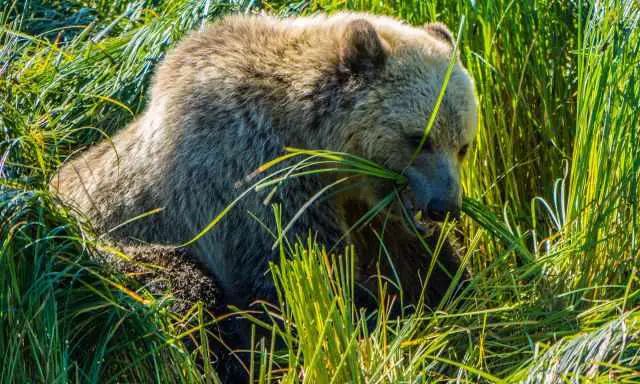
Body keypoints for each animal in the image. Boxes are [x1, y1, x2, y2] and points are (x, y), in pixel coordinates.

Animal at [52, 11, 478, 332]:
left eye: (463, 145)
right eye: (418, 138)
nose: (445, 206)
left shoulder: (358, 202)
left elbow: (411, 257)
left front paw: (452, 293)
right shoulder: (250, 176)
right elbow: (298, 271)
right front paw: (363, 317)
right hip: (110, 251)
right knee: (179, 288)